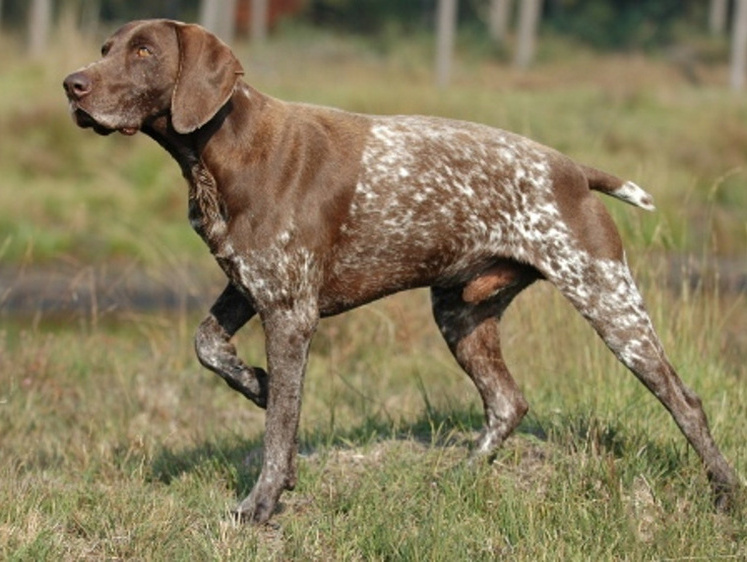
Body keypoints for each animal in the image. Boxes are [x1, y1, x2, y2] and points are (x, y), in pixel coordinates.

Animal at [62, 20, 736, 520]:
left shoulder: (290, 311)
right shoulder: (249, 284)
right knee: (508, 403)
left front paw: (261, 502)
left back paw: (725, 491)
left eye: (144, 52)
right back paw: (459, 477)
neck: (222, 149)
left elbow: (279, 431)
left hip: (609, 302)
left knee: (686, 402)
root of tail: (572, 169)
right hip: (461, 313)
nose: (72, 85)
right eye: (105, 49)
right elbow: (208, 345)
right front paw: (255, 383)